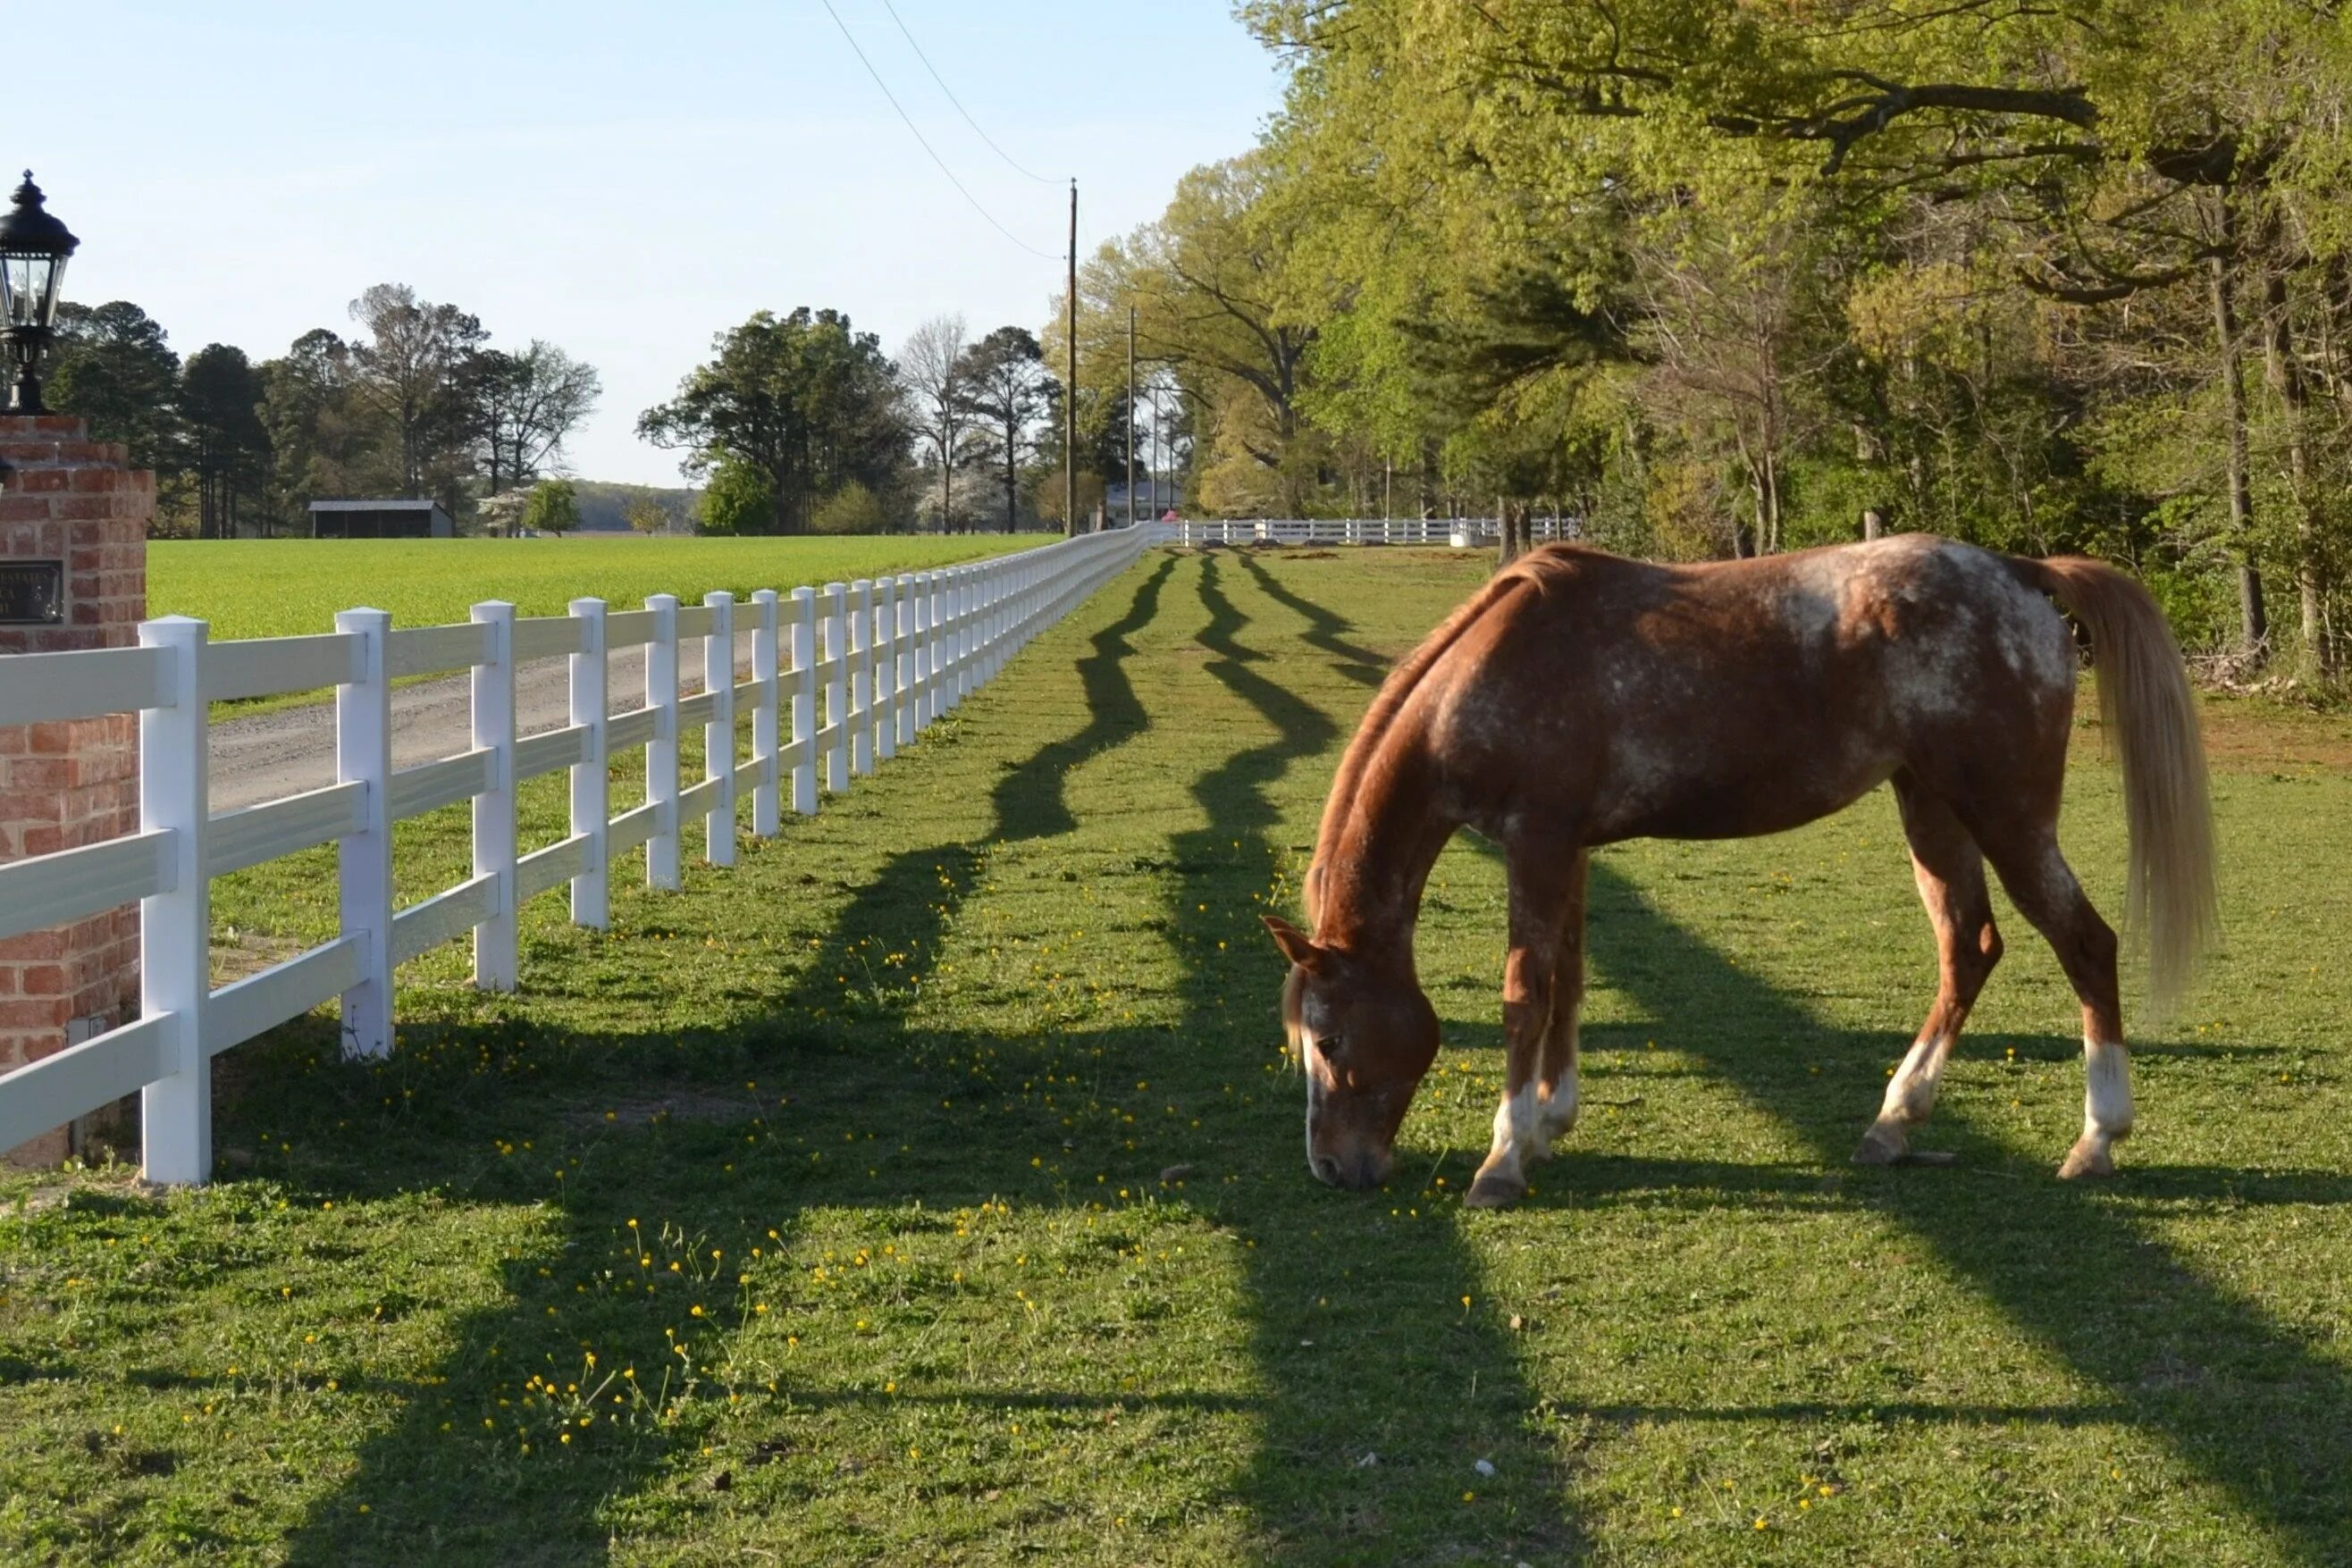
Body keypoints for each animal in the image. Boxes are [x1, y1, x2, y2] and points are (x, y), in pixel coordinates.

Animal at [1260, 533, 2211, 1212]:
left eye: (1330, 1038)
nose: (1331, 1165)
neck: (1497, 667)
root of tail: (2018, 572)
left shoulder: (1537, 842)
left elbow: (1526, 996)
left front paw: (1502, 1159)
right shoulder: (1569, 850)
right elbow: (1569, 982)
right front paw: (1549, 1125)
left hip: (2006, 815)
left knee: (2085, 943)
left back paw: (2097, 1138)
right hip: (1931, 808)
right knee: (1969, 948)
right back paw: (1895, 1121)